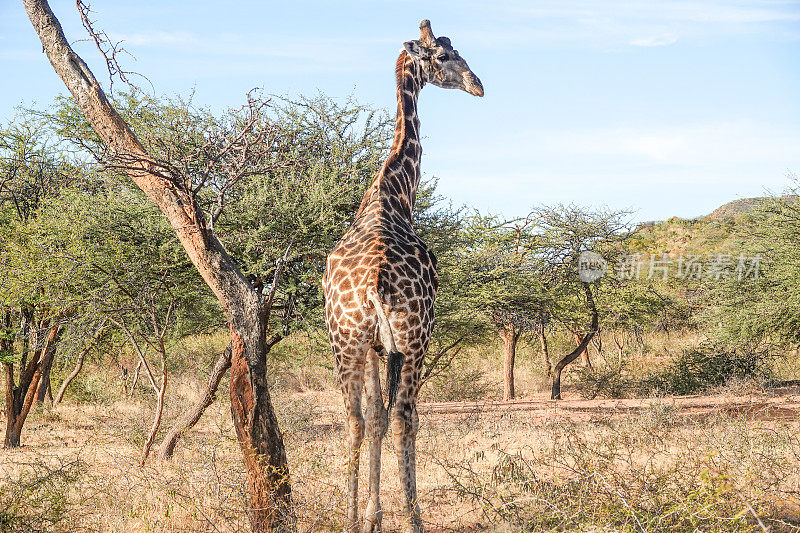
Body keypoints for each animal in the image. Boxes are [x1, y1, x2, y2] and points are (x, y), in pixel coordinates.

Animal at [324, 18, 484, 528]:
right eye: (444, 56)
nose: (478, 84)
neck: (393, 191)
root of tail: (375, 282)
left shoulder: (375, 345)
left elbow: (373, 416)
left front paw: (371, 515)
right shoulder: (399, 342)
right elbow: (392, 417)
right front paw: (384, 514)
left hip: (345, 341)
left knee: (356, 419)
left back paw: (349, 519)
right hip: (415, 337)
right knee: (406, 416)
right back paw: (415, 519)